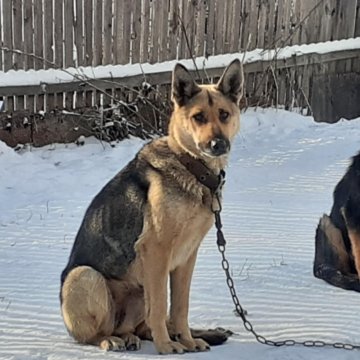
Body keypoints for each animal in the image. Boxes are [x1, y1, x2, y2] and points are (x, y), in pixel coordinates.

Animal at [59, 59, 245, 354]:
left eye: (224, 114)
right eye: (198, 117)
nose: (218, 144)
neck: (190, 167)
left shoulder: (186, 257)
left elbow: (180, 307)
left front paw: (187, 340)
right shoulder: (156, 250)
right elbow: (159, 306)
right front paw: (166, 345)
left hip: (137, 289)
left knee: (138, 327)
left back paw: (139, 337)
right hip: (84, 276)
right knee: (98, 333)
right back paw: (112, 340)